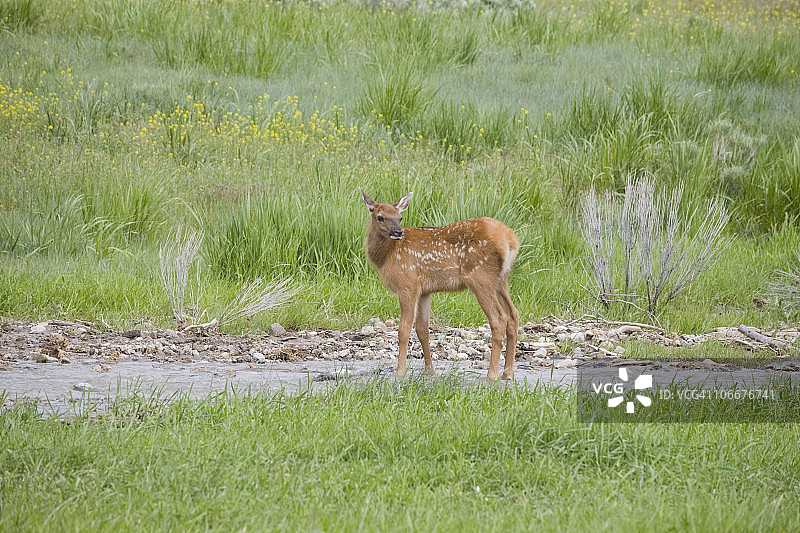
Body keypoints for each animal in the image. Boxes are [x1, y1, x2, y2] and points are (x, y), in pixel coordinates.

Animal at [360, 189, 520, 381]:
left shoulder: (407, 284)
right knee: (513, 314)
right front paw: (429, 370)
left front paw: (400, 372)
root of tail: (511, 240)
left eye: (400, 217)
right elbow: (422, 330)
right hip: (502, 280)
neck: (388, 255)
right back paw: (508, 373)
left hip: (481, 277)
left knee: (499, 319)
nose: (398, 232)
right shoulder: (424, 291)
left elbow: (404, 330)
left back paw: (492, 374)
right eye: (380, 217)